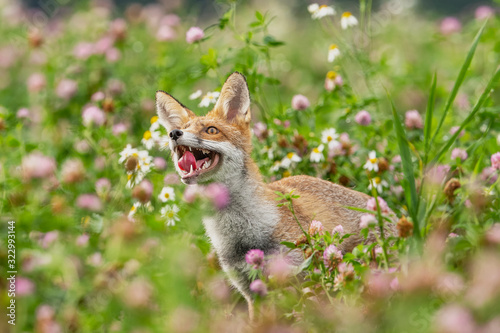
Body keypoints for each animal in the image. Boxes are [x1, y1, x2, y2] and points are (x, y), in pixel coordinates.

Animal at [155, 72, 394, 316]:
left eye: (211, 130)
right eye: (183, 128)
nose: (173, 133)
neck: (241, 236)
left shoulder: (306, 276)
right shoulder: (251, 290)